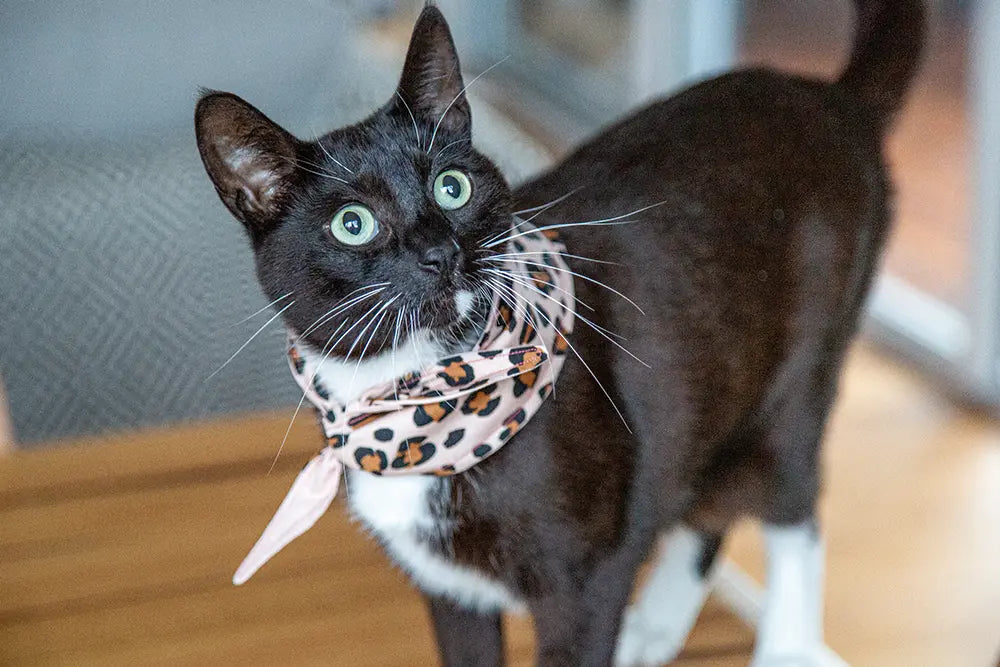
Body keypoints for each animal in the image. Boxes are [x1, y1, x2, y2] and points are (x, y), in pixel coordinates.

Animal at [197, 2, 928, 664]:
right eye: (352, 224)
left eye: (452, 186)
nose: (440, 251)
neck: (418, 399)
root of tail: (830, 99)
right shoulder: (448, 585)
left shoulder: (587, 581)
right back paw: (654, 628)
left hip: (801, 372)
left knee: (791, 506)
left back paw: (785, 643)